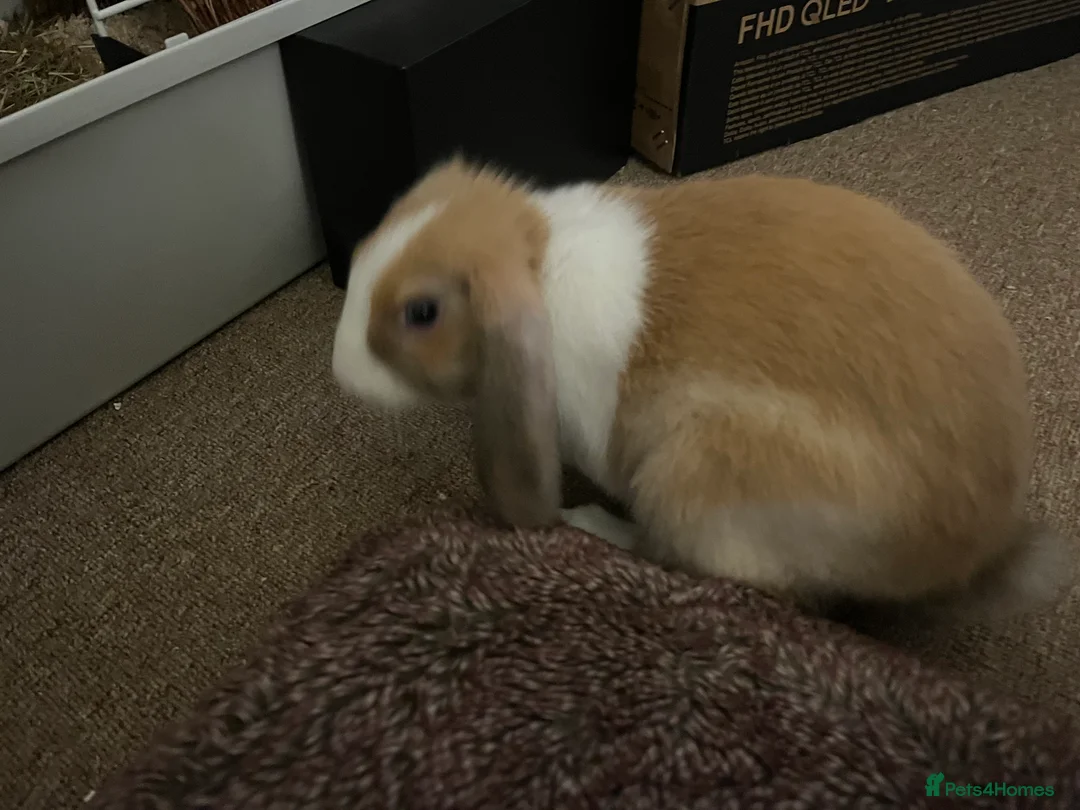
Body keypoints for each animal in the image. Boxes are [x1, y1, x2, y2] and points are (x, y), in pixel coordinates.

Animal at [330, 156, 1068, 620]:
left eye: (422, 312)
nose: (339, 369)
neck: (538, 262)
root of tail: (974, 553)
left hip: (697, 470)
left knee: (686, 561)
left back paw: (591, 523)